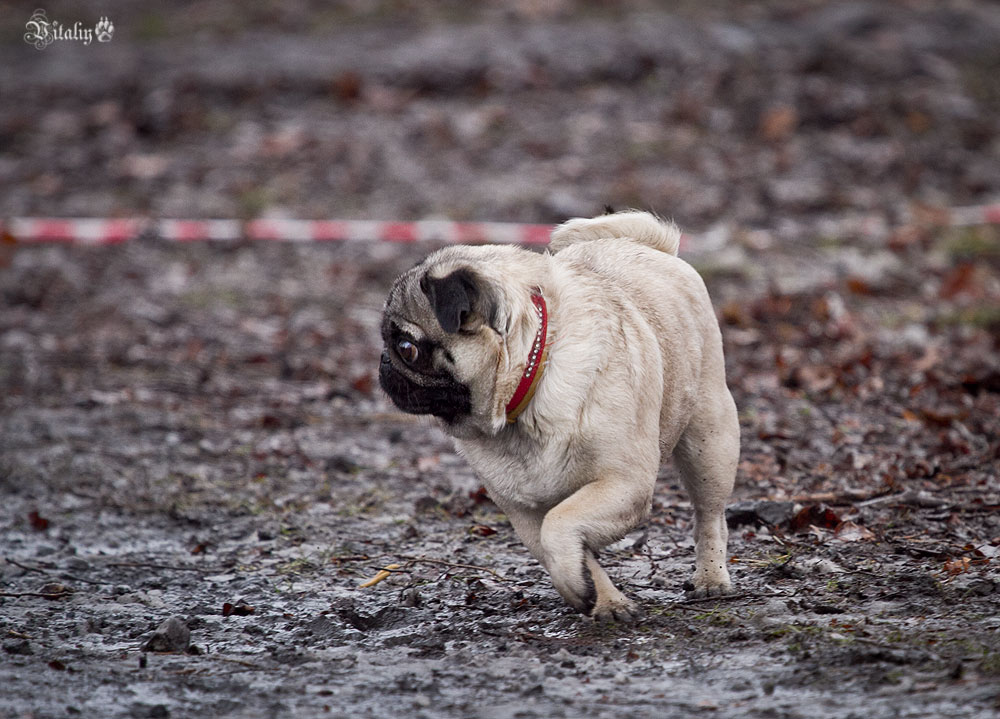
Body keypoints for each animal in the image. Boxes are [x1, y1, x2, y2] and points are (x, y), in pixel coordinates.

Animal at [378, 211, 740, 620]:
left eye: (407, 347)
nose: (383, 362)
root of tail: (647, 244)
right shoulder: (526, 514)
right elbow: (564, 548)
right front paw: (598, 597)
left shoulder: (623, 484)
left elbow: (560, 525)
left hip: (708, 442)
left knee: (709, 516)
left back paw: (711, 577)